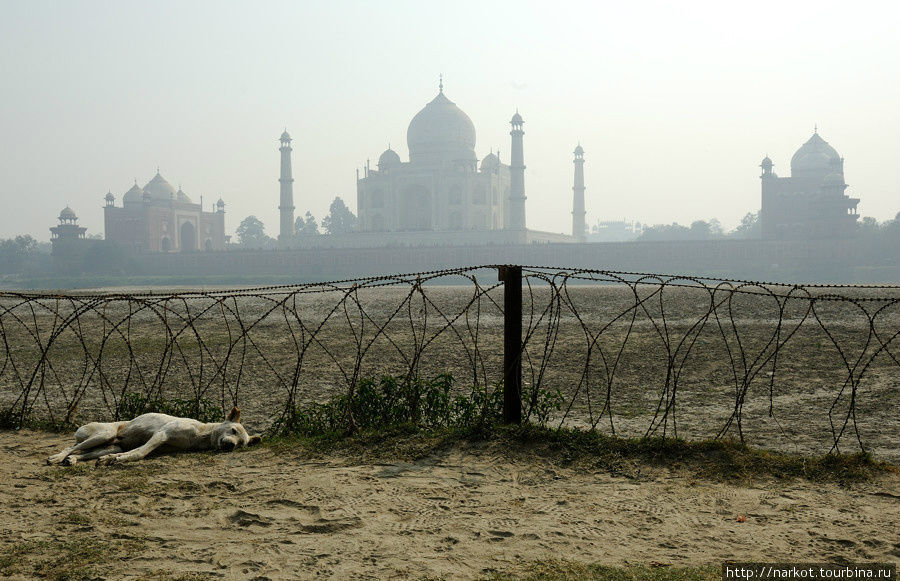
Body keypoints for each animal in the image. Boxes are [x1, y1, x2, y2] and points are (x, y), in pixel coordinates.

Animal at [46, 406, 260, 464]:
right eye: (233, 431)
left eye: (241, 444)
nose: (230, 446)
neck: (201, 433)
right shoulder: (161, 435)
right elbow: (140, 452)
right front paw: (120, 460)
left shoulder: (159, 444)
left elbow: (134, 451)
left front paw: (113, 458)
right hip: (104, 433)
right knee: (70, 446)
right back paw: (57, 458)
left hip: (108, 444)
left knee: (83, 453)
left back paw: (72, 460)